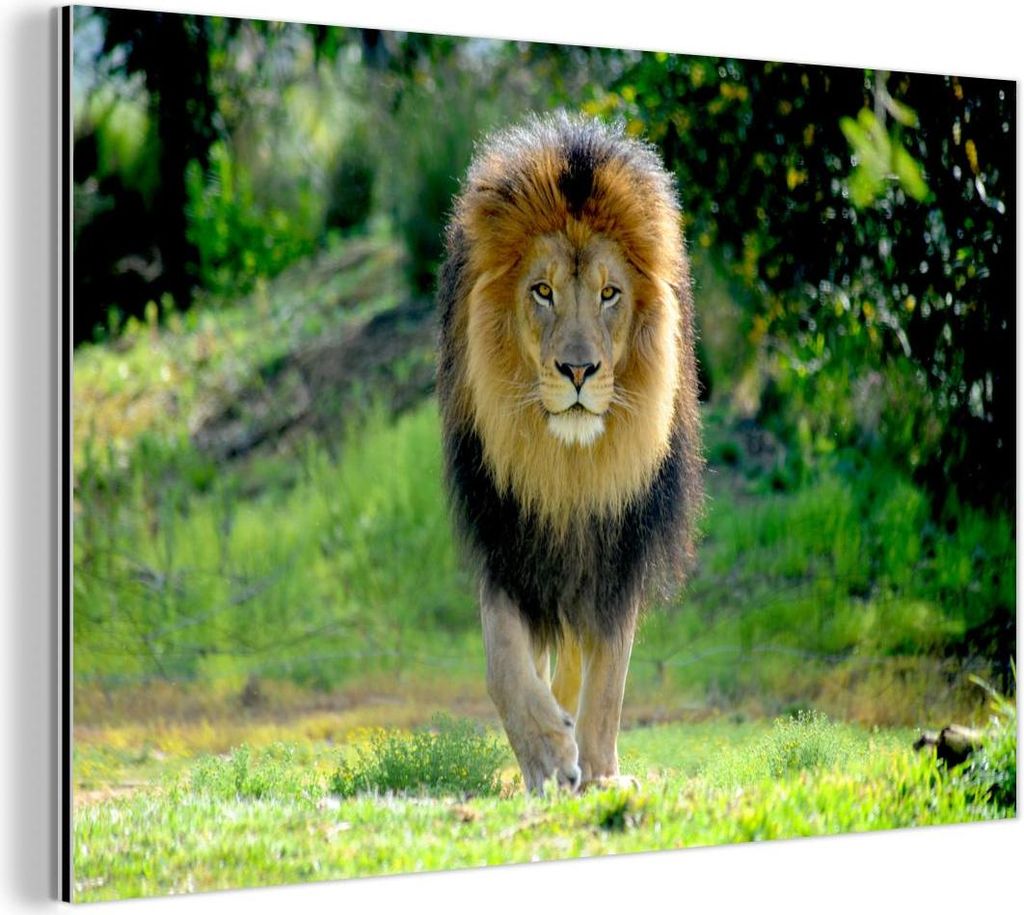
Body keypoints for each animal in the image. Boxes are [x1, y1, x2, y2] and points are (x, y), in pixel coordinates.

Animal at [437, 113, 703, 793]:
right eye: (542, 291)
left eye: (610, 293)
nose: (578, 371)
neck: (569, 469)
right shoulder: (507, 534)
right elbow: (504, 661)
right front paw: (547, 756)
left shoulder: (620, 546)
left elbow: (608, 677)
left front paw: (601, 771)